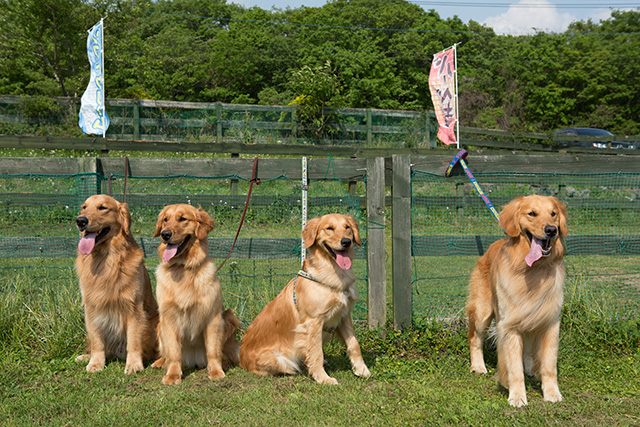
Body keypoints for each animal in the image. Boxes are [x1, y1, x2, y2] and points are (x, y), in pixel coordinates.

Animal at [74, 194, 159, 374]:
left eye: (102, 208)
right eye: (84, 207)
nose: (80, 221)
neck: (105, 260)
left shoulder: (133, 307)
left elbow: (134, 341)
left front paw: (134, 364)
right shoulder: (92, 308)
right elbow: (97, 341)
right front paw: (95, 363)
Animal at [152, 202, 240, 386]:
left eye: (183, 219)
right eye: (165, 220)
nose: (165, 234)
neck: (183, 267)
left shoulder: (213, 317)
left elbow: (213, 350)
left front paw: (216, 371)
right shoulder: (168, 318)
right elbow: (173, 352)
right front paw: (173, 375)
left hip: (229, 316)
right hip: (159, 326)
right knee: (166, 354)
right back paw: (160, 362)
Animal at [239, 214, 370, 384]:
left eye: (347, 227)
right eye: (329, 228)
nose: (346, 242)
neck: (335, 274)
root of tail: (240, 359)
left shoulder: (344, 315)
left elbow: (354, 344)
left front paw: (361, 369)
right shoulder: (313, 322)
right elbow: (316, 353)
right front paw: (323, 378)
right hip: (280, 359)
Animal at [468, 196, 568, 406]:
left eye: (553, 214)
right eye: (532, 214)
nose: (551, 230)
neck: (532, 270)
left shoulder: (550, 323)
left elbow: (549, 366)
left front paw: (552, 393)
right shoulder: (510, 326)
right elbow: (514, 369)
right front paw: (517, 396)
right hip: (482, 311)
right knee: (475, 339)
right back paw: (478, 366)